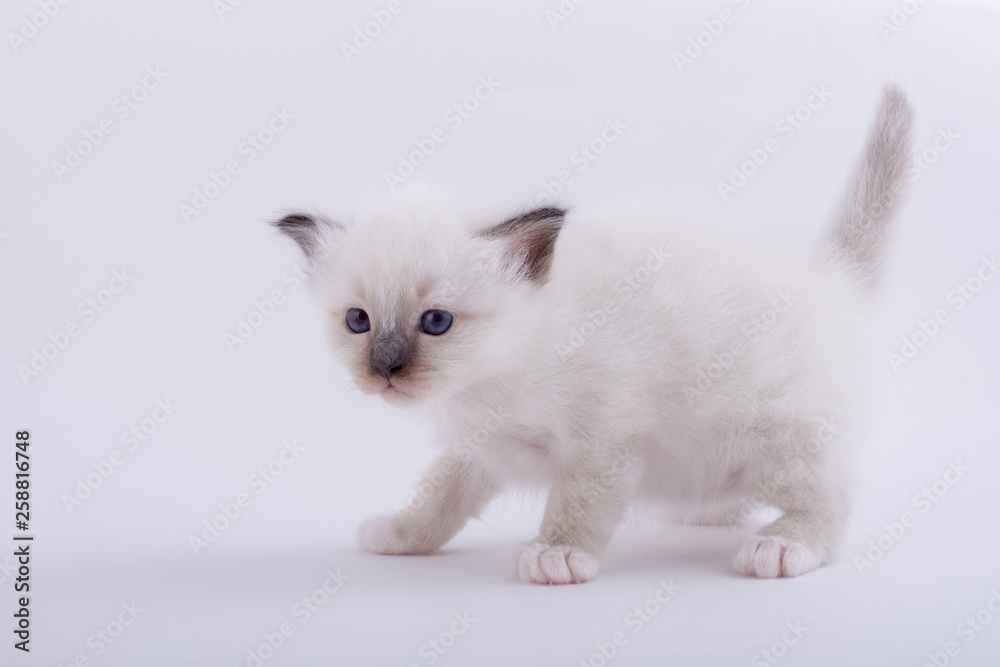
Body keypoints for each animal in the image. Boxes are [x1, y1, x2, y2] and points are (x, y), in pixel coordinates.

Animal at [272, 85, 916, 584]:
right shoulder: (479, 444)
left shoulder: (603, 437)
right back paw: (711, 511)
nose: (384, 369)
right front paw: (404, 533)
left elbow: (580, 501)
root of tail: (834, 272)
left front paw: (558, 555)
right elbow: (440, 494)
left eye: (435, 322)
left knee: (830, 499)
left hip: (777, 437)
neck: (497, 374)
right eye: (358, 320)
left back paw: (782, 545)